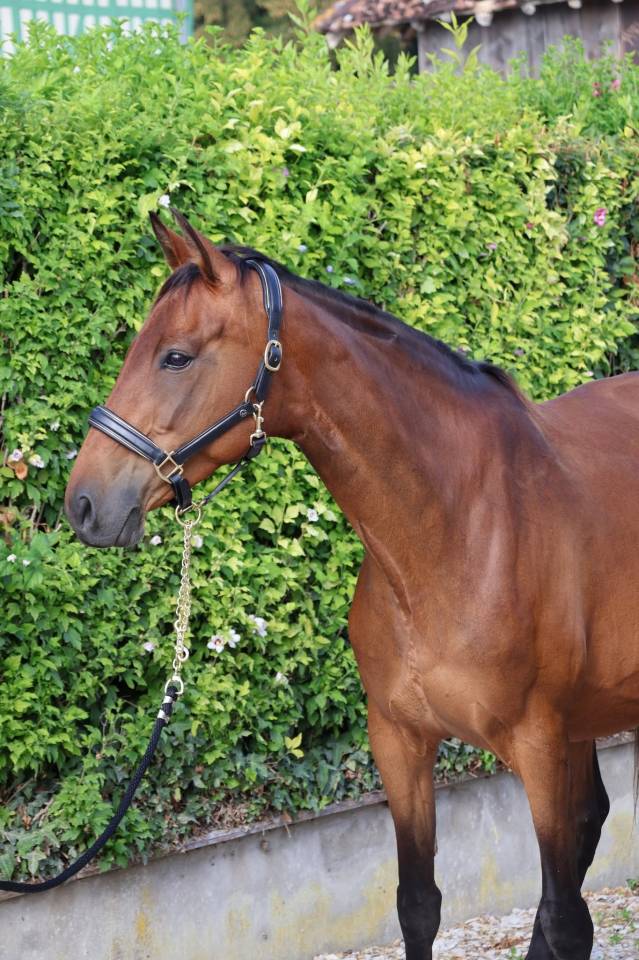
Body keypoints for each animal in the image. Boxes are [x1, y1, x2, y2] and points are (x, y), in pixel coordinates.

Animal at [65, 211, 639, 960]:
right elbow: (419, 904)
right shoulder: (398, 739)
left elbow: (566, 917)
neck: (454, 529)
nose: (83, 502)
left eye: (177, 357)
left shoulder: (540, 747)